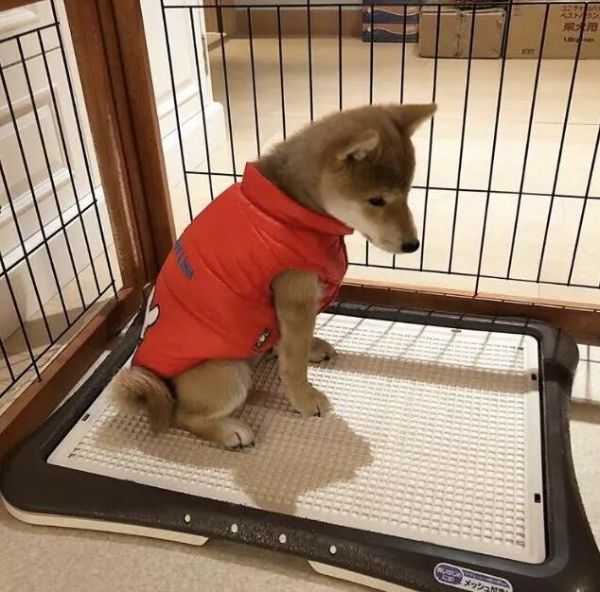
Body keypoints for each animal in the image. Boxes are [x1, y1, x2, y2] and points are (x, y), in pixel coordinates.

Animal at [111, 103, 436, 449]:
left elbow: (290, 346)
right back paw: (229, 432)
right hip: (229, 374)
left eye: (408, 192)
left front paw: (308, 349)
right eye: (376, 200)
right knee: (182, 416)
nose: (413, 245)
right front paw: (305, 400)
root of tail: (158, 387)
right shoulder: (296, 296)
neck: (290, 206)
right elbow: (293, 365)